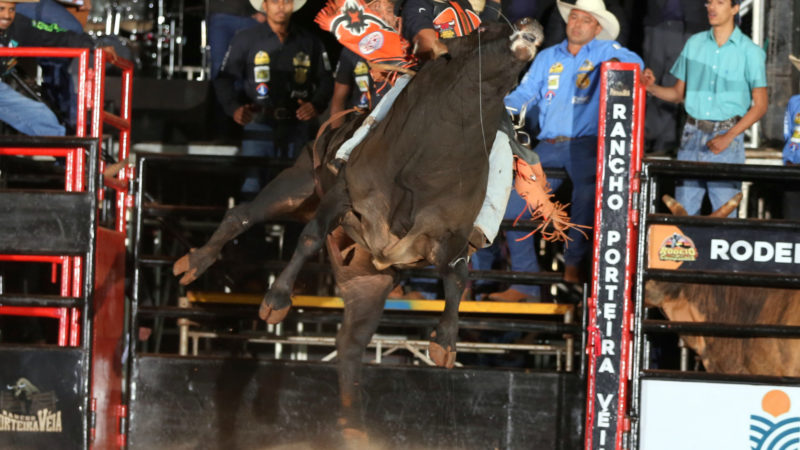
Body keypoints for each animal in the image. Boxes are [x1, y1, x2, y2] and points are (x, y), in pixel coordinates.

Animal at [174, 20, 552, 436]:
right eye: (486, 29)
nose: (532, 24)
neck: (435, 153)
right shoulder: (345, 195)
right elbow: (310, 238)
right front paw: (276, 300)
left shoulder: (447, 237)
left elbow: (457, 277)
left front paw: (446, 343)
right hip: (298, 186)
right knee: (241, 215)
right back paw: (193, 263)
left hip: (368, 284)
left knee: (350, 345)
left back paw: (352, 425)